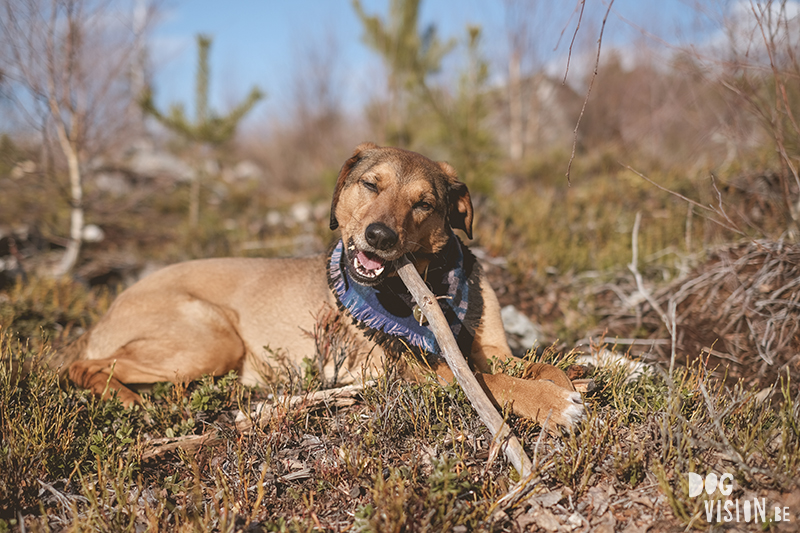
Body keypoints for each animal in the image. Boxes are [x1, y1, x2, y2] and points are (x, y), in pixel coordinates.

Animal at [67, 144, 580, 428]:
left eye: (425, 204)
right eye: (371, 185)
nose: (380, 236)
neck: (429, 283)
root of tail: (108, 310)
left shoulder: (489, 349)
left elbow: (538, 366)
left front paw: (562, 387)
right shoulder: (420, 369)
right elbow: (494, 381)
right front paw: (550, 405)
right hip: (211, 339)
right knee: (83, 368)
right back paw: (133, 404)